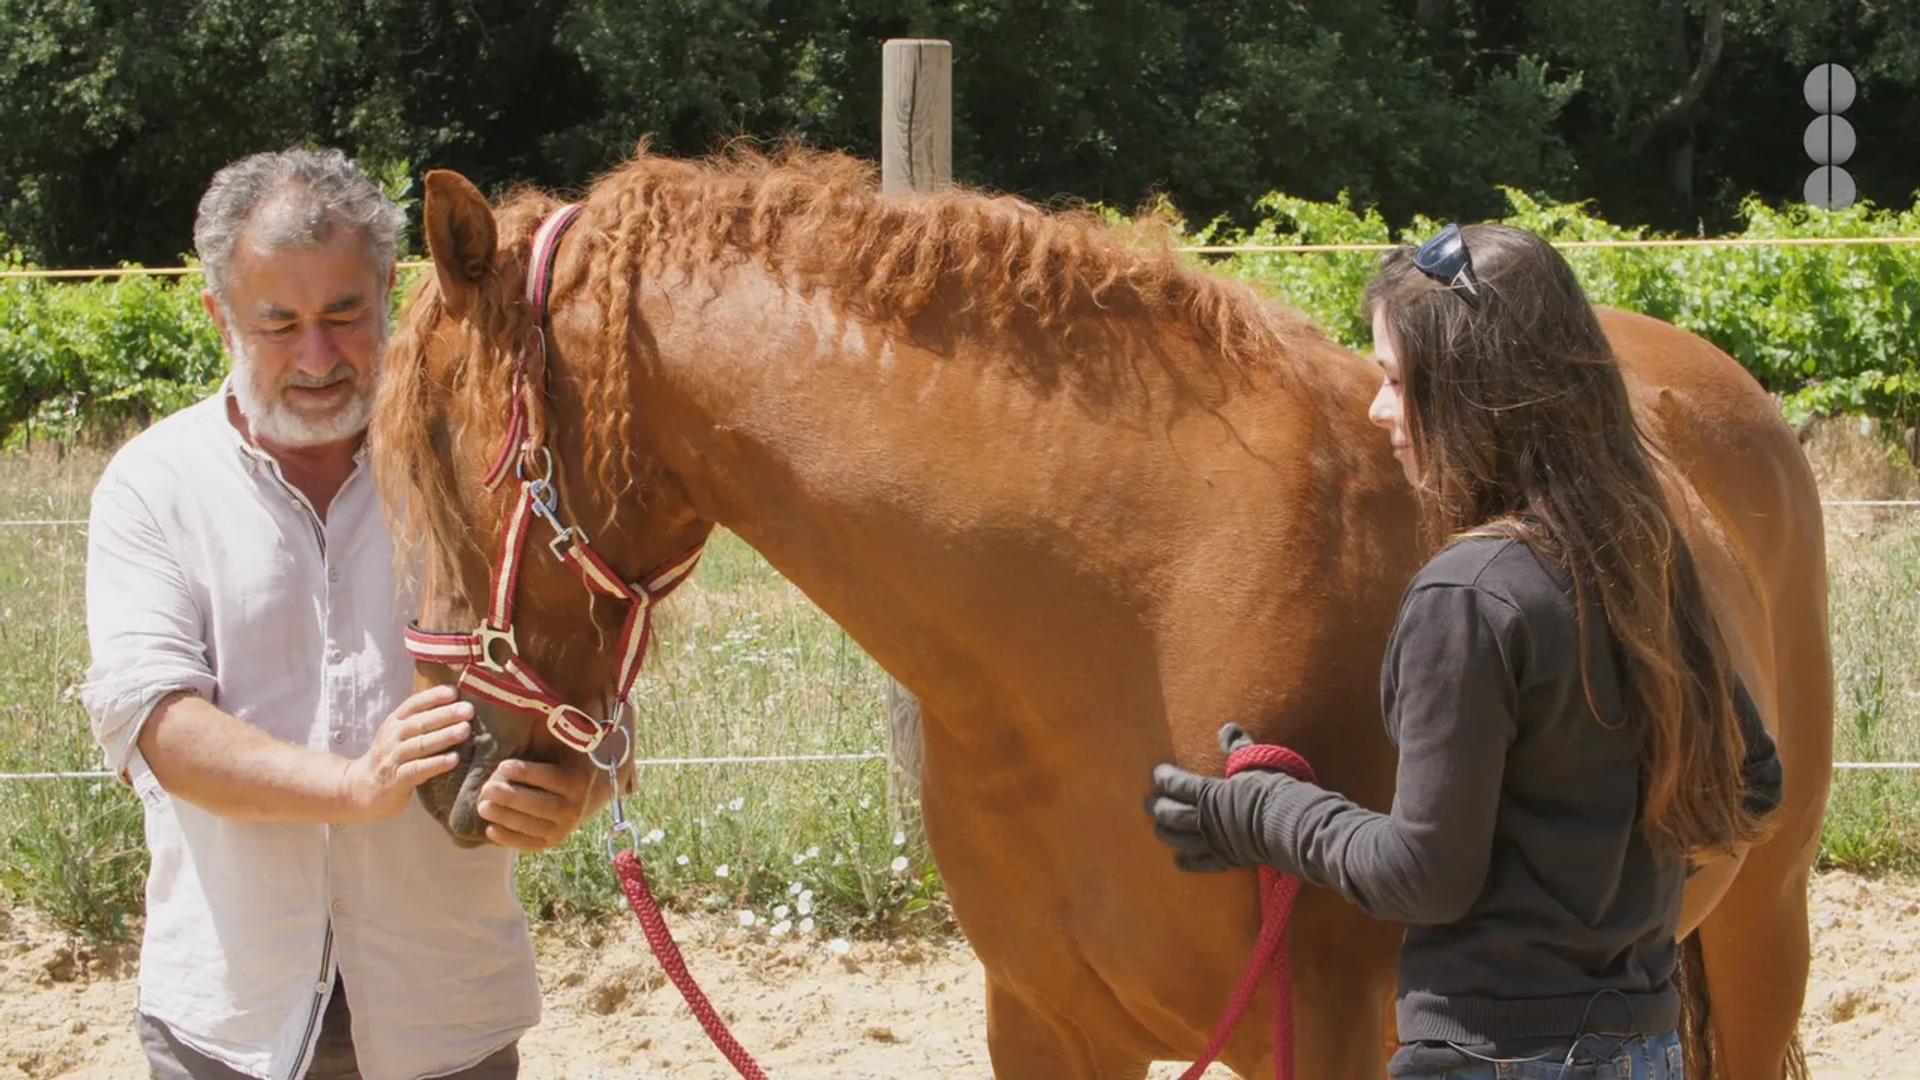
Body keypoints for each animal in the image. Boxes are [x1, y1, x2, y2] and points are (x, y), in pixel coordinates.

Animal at [369, 146, 1830, 1079]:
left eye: (441, 444)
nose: (455, 772)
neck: (1131, 607)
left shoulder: (1331, 1039)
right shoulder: (1046, 1030)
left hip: (1763, 929)